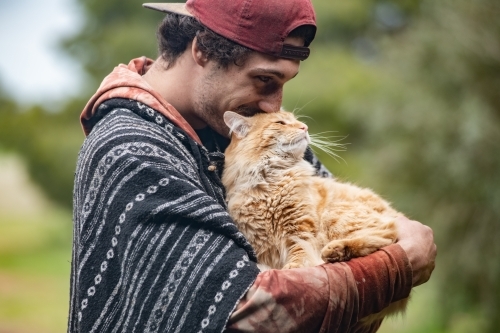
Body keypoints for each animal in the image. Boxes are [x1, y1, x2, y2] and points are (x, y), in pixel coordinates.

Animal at [221, 109, 408, 322]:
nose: (305, 127)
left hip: (335, 216)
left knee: (387, 234)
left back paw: (336, 250)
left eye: (296, 121)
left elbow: (297, 260)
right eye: (281, 123)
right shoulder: (259, 244)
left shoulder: (300, 233)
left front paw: (290, 270)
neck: (270, 183)